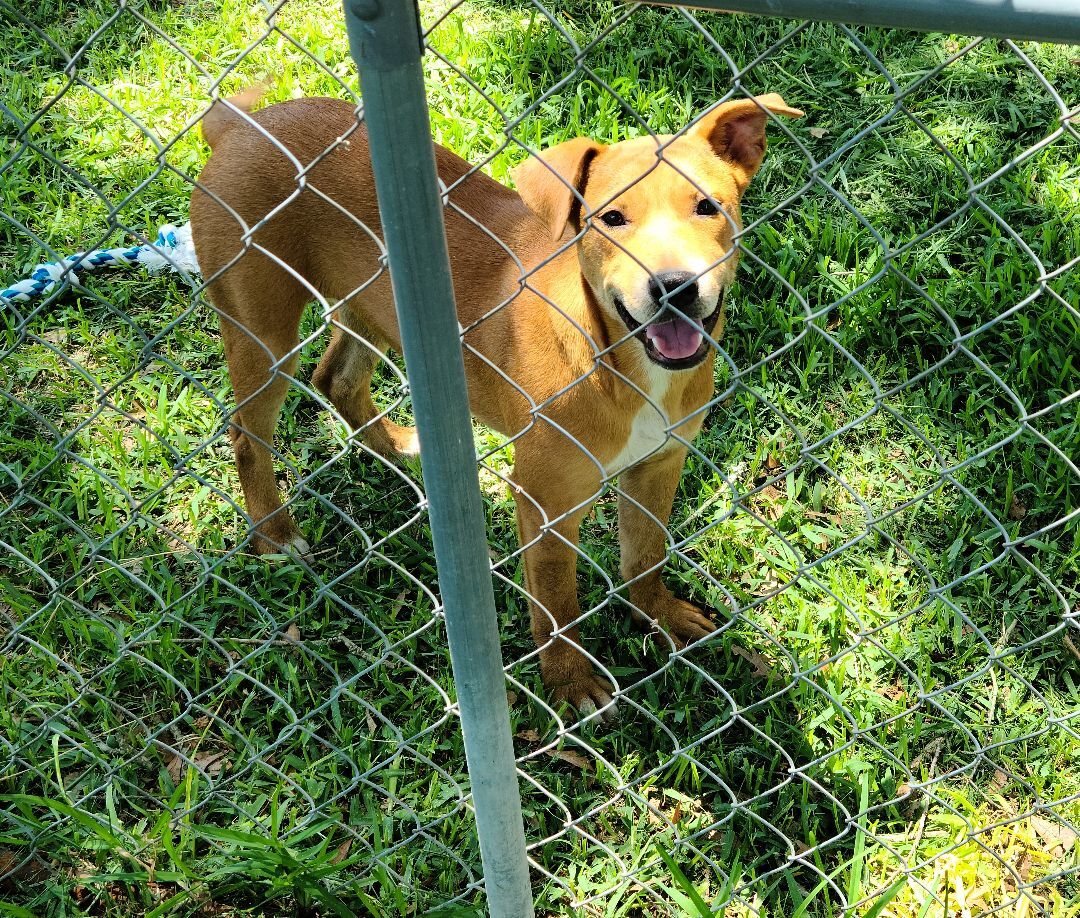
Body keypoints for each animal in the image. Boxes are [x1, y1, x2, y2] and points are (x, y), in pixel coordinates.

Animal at [190, 89, 803, 712]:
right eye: (611, 219)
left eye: (708, 207)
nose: (675, 287)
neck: (621, 361)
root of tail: (243, 125)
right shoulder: (545, 499)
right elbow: (556, 601)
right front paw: (569, 680)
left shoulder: (659, 464)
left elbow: (645, 553)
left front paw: (659, 614)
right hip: (262, 331)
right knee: (247, 432)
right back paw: (274, 533)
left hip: (373, 306)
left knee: (335, 378)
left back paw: (394, 446)